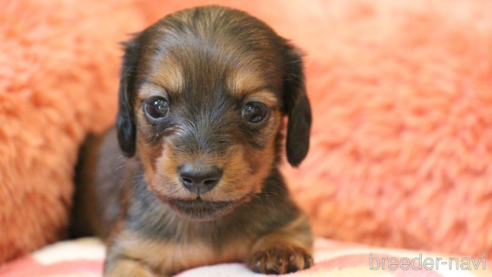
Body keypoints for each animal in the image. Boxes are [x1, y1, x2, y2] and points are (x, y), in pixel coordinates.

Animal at [70, 4, 312, 276]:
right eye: (156, 105)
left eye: (254, 110)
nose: (198, 177)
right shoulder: (128, 250)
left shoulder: (292, 217)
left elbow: (289, 229)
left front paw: (280, 247)